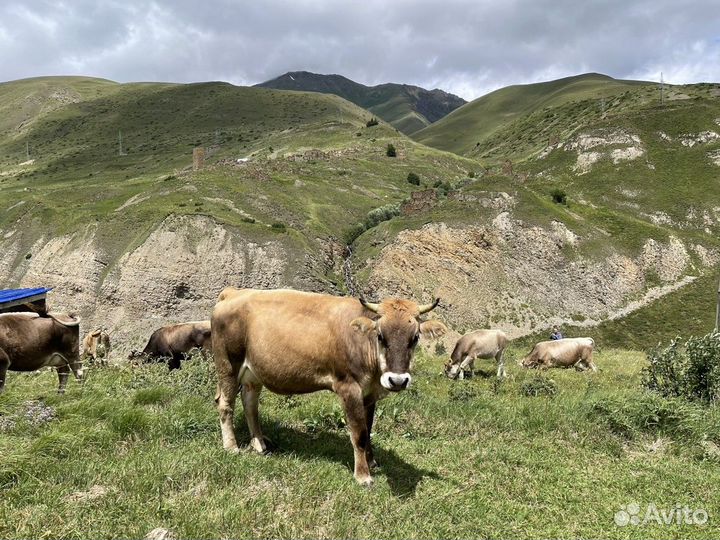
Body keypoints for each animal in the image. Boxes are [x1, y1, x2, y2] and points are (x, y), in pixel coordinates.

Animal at [211, 286, 448, 486]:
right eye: (381, 336)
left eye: (415, 338)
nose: (397, 380)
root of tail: (233, 292)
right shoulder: (349, 387)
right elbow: (359, 434)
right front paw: (363, 475)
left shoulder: (369, 393)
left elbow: (369, 428)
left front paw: (371, 462)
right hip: (228, 364)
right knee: (225, 404)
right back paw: (231, 446)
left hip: (253, 373)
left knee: (250, 404)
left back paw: (259, 443)